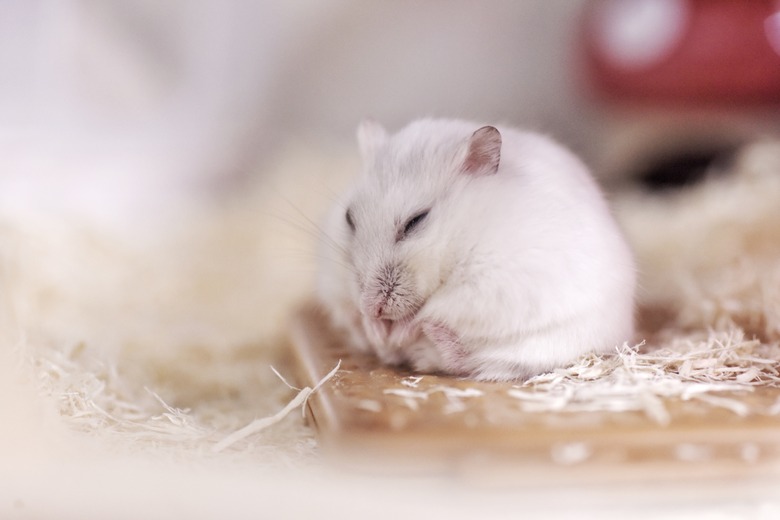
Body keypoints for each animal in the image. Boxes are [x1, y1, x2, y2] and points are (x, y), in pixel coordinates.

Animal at [316, 118, 636, 381]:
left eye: (416, 221)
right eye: (349, 218)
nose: (373, 307)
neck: (462, 234)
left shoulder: (489, 285)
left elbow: (432, 311)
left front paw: (398, 332)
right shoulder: (335, 284)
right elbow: (350, 310)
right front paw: (376, 331)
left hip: (544, 347)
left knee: (465, 361)